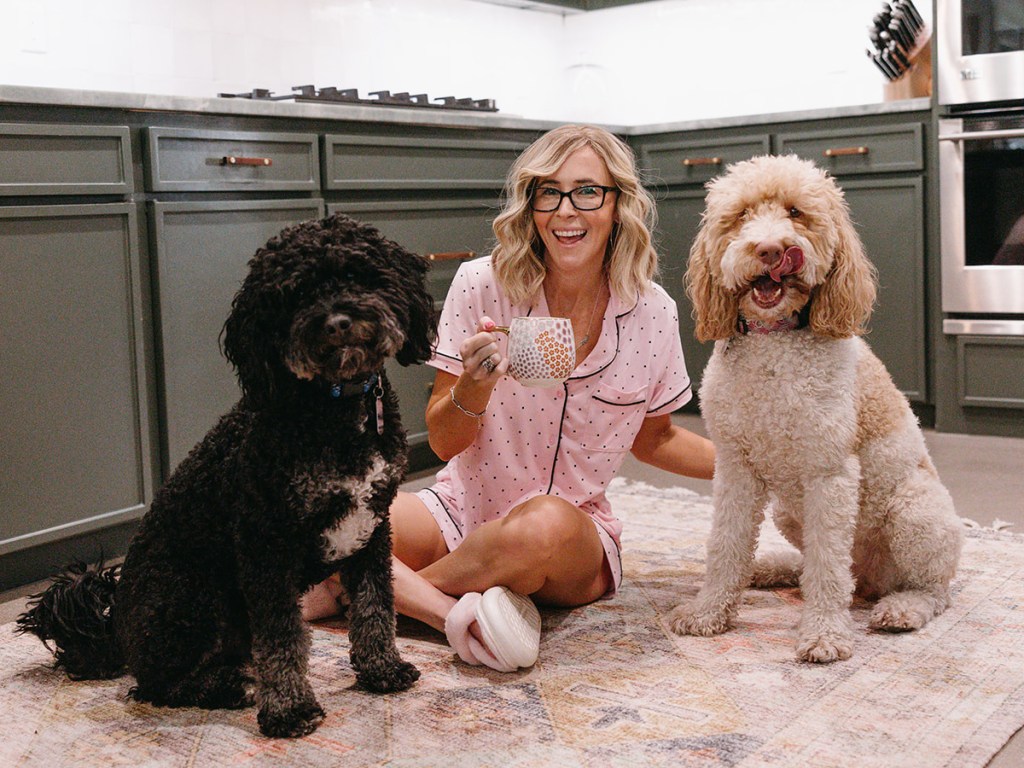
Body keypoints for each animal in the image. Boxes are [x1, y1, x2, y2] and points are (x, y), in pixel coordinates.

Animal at [17, 215, 432, 741]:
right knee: (155, 685)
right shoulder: (264, 540)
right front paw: (290, 708)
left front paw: (382, 669)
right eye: (293, 294)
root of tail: (116, 632)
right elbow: (282, 636)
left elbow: (375, 605)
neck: (334, 406)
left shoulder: (372, 527)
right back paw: (228, 686)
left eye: (358, 273)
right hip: (193, 595)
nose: (337, 322)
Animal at [667, 154, 962, 663]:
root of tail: (871, 581)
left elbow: (827, 566)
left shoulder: (830, 473)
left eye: (796, 213)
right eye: (741, 215)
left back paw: (901, 609)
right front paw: (709, 612)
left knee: (928, 588)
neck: (774, 343)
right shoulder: (736, 468)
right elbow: (725, 545)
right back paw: (772, 568)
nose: (770, 249)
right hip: (788, 512)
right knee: (816, 565)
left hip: (916, 510)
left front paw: (824, 634)